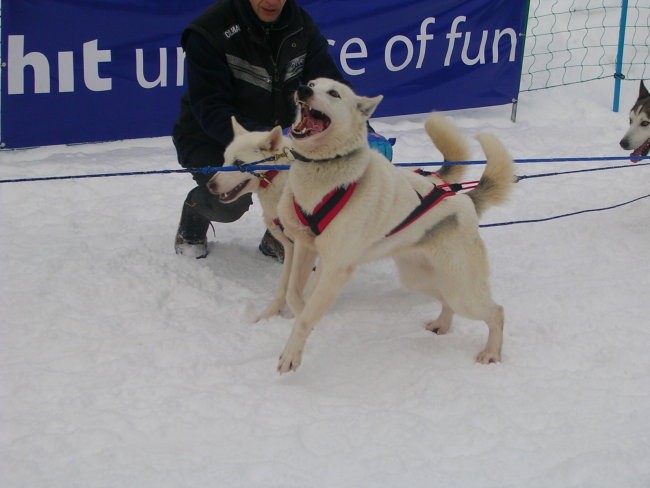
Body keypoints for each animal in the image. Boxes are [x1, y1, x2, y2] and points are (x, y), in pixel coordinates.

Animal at [206, 112, 466, 322]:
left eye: (239, 164)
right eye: (225, 159)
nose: (210, 184)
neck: (283, 181)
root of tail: (436, 179)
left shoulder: (317, 250)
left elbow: (303, 289)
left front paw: (297, 313)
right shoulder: (293, 248)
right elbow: (284, 288)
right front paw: (268, 315)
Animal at [276, 77, 512, 374]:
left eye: (333, 93)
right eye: (311, 83)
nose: (303, 89)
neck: (325, 173)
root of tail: (465, 199)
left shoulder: (337, 268)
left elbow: (306, 317)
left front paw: (291, 353)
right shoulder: (305, 247)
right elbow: (295, 296)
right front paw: (302, 311)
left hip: (462, 290)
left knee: (497, 311)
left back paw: (491, 352)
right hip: (420, 279)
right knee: (447, 301)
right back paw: (442, 324)